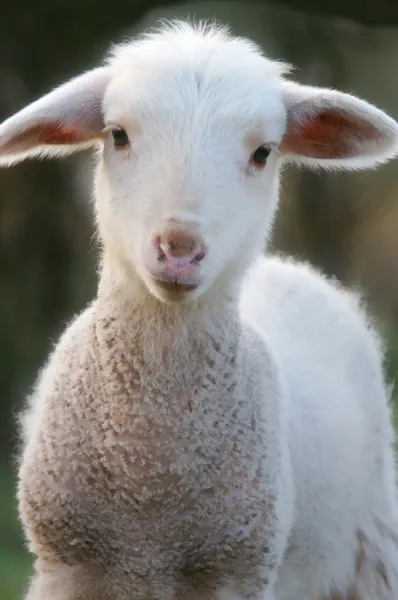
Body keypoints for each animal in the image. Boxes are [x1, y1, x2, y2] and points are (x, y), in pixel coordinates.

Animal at [0, 19, 398, 600]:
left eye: (263, 152)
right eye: (118, 134)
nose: (180, 248)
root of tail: (287, 266)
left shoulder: (237, 572)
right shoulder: (65, 569)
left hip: (369, 557)